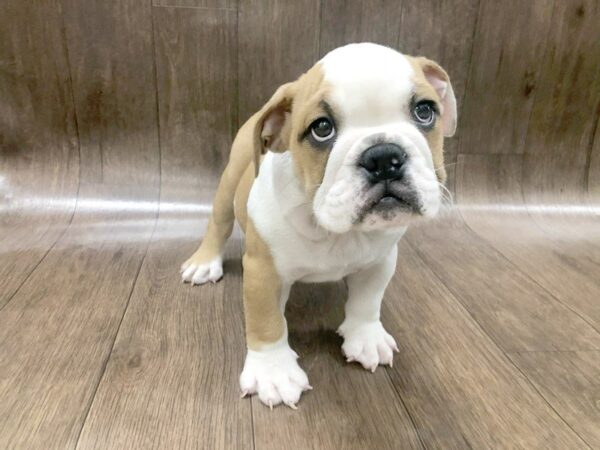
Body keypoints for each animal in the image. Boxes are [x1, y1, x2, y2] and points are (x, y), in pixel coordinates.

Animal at [180, 44, 458, 410]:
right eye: (321, 128)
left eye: (425, 111)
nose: (383, 157)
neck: (334, 230)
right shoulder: (263, 271)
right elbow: (266, 320)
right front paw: (274, 372)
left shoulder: (381, 260)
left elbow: (368, 300)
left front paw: (366, 336)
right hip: (229, 185)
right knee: (219, 223)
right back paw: (203, 263)